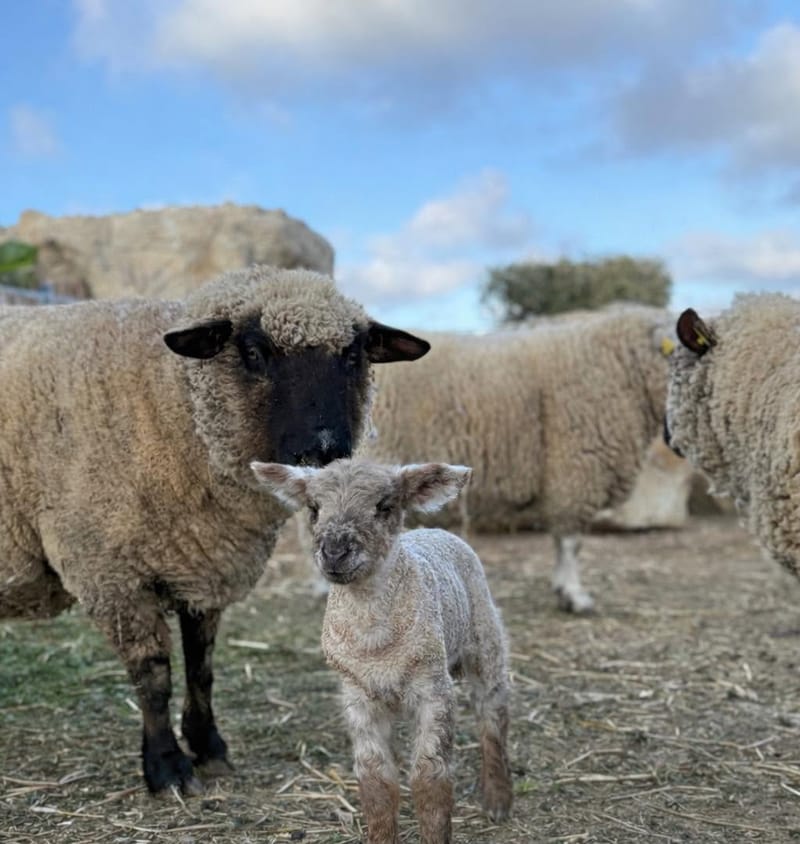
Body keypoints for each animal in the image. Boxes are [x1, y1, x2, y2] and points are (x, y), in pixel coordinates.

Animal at [0, 264, 430, 795]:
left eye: (353, 355)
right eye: (254, 352)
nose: (322, 452)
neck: (169, 403)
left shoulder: (201, 560)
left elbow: (201, 667)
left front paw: (209, 747)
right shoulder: (109, 572)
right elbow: (153, 676)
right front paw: (167, 768)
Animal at [251, 458, 513, 844]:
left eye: (384, 506)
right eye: (313, 508)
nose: (335, 552)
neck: (375, 642)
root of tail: (435, 529)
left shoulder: (433, 688)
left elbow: (430, 778)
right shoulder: (358, 696)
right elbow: (376, 782)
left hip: (485, 638)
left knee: (492, 716)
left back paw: (497, 799)